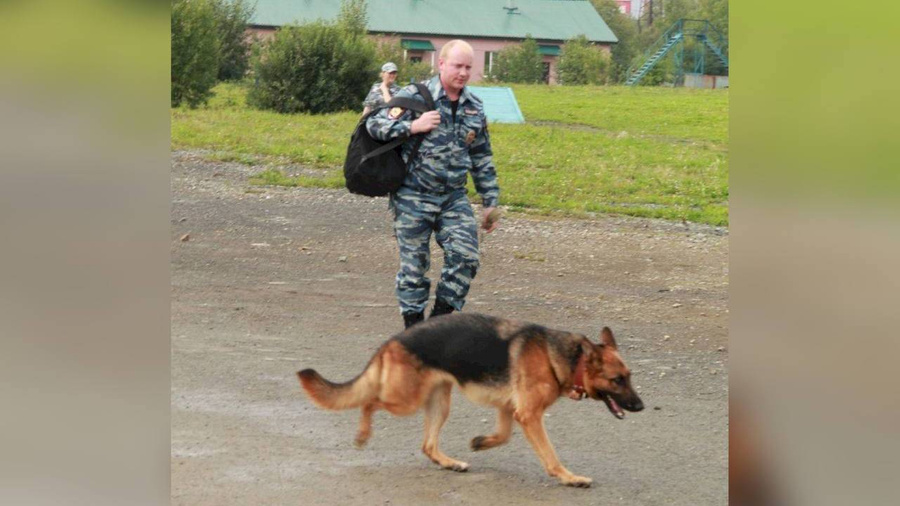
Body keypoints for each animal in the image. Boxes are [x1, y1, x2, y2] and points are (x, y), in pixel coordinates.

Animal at [296, 312, 640, 486]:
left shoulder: (511, 409)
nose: (641, 406)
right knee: (370, 402)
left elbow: (503, 435)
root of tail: (393, 341)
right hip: (405, 400)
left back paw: (450, 462)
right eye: (617, 380)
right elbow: (550, 455)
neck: (567, 358)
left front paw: (480, 442)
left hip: (439, 403)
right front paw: (570, 478)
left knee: (428, 445)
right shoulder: (529, 415)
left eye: (630, 375)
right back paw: (362, 434)